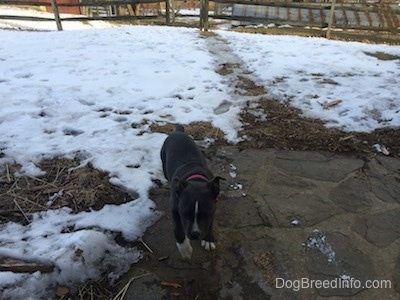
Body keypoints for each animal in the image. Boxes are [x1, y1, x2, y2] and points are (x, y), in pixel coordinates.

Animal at [160, 125, 223, 258]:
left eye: (206, 214)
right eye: (184, 213)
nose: (195, 234)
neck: (196, 179)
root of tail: (178, 132)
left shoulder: (213, 207)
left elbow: (210, 223)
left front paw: (208, 240)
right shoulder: (175, 208)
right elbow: (178, 229)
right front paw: (185, 249)